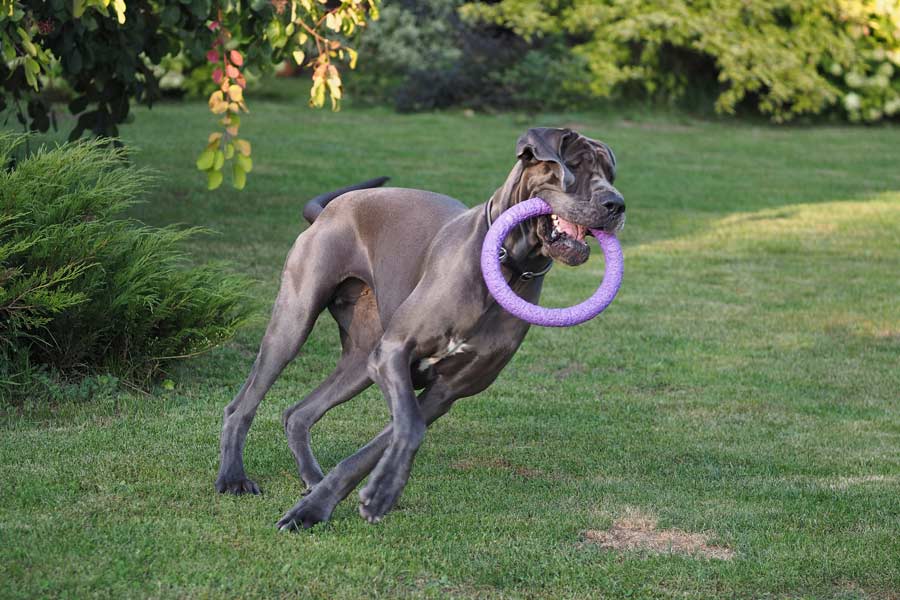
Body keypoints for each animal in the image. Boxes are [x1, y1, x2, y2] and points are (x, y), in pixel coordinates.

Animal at [216, 127, 624, 528]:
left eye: (610, 174)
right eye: (573, 165)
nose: (617, 204)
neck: (507, 264)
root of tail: (332, 209)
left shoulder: (443, 391)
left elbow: (386, 442)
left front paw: (331, 504)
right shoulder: (394, 352)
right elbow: (409, 427)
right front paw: (371, 493)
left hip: (361, 360)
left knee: (298, 414)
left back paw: (313, 480)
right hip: (296, 320)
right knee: (242, 405)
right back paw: (233, 477)